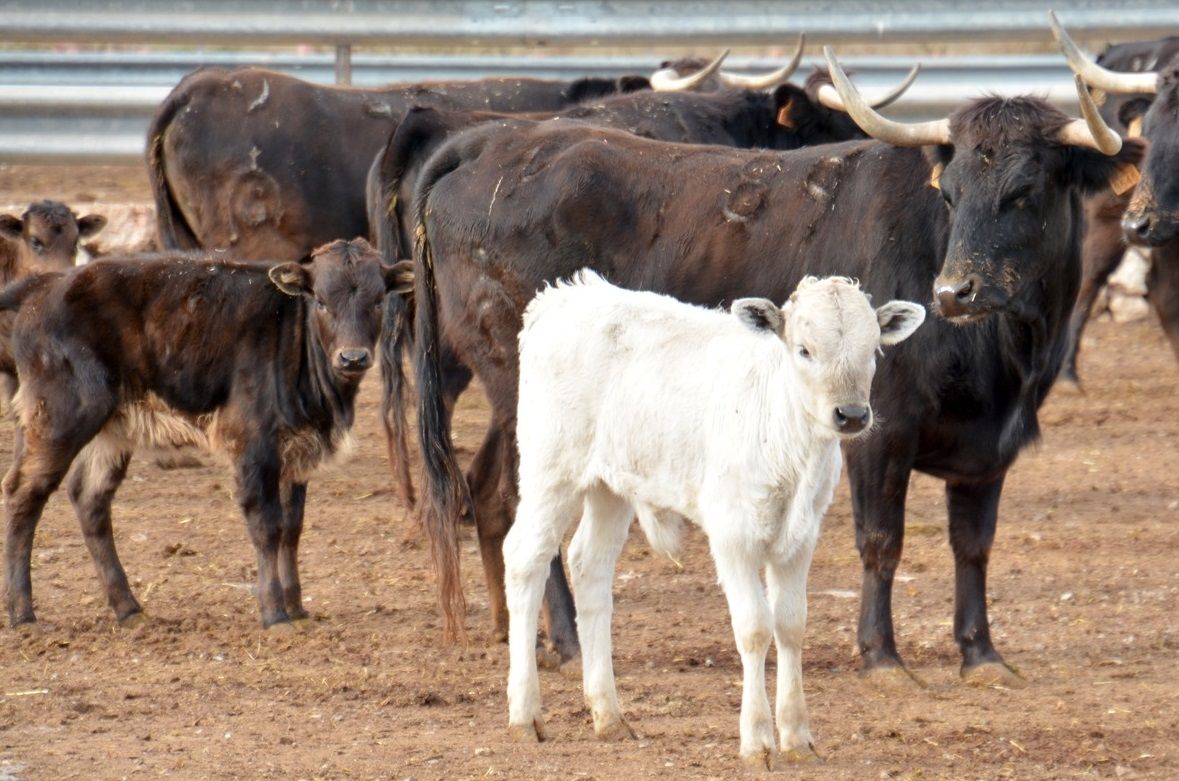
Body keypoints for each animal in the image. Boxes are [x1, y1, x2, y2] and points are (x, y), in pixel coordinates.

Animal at [1, 237, 410, 632]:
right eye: (321, 301)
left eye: (378, 300)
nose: (353, 358)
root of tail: (45, 285)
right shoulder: (253, 446)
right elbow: (267, 525)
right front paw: (275, 614)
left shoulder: (295, 452)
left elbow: (292, 527)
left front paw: (297, 609)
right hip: (60, 419)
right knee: (25, 495)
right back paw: (24, 614)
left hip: (111, 431)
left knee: (90, 499)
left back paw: (129, 608)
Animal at [407, 51, 1141, 688]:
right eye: (952, 194)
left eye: (1023, 191)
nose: (954, 292)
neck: (1002, 358)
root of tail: (489, 143)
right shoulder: (879, 433)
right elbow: (881, 540)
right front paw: (882, 657)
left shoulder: (987, 451)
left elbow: (973, 545)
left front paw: (981, 654)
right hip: (533, 405)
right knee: (528, 511)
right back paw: (563, 640)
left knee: (491, 492)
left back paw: (518, 630)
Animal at [502, 273, 924, 769]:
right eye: (804, 350)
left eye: (873, 350)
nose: (852, 415)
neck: (789, 444)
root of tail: (563, 295)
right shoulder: (733, 533)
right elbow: (756, 627)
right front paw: (757, 740)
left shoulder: (802, 537)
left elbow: (792, 624)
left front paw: (797, 737)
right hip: (551, 469)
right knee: (525, 558)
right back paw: (525, 714)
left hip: (612, 483)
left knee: (589, 566)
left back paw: (609, 715)